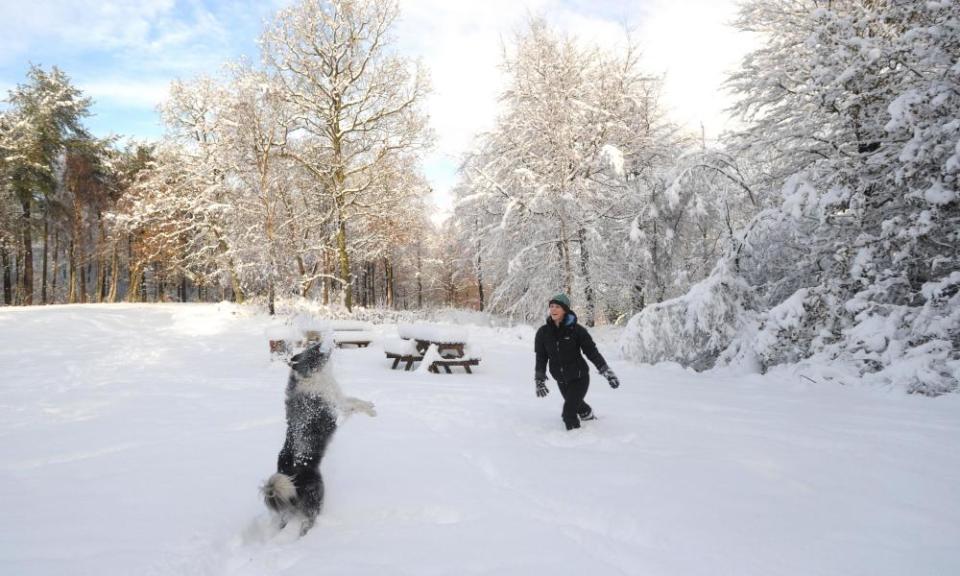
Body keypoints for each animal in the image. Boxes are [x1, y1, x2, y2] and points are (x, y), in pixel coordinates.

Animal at [260, 342, 376, 536]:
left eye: (313, 346)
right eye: (314, 351)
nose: (328, 342)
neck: (314, 376)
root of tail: (287, 474)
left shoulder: (340, 399)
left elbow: (354, 399)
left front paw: (371, 406)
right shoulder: (336, 410)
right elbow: (353, 405)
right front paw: (371, 410)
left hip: (288, 505)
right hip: (316, 495)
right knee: (307, 521)